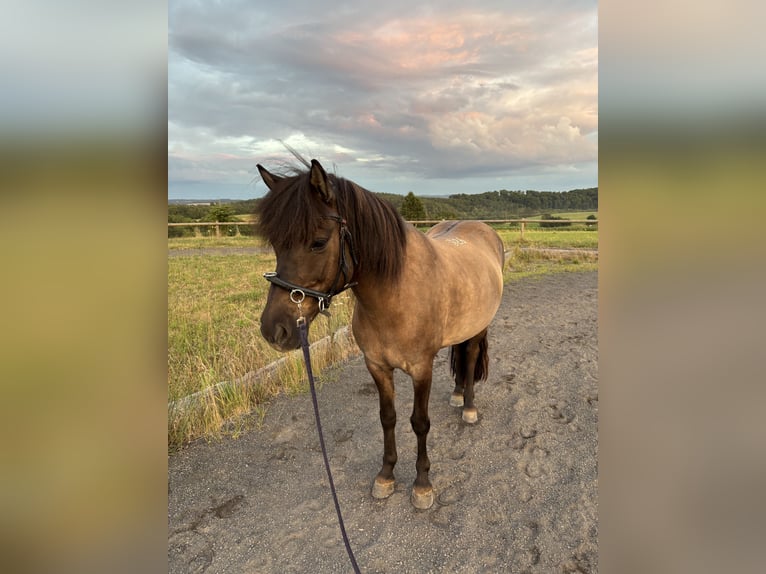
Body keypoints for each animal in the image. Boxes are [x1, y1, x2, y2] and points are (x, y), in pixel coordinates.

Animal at [256, 157, 505, 509]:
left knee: (469, 358)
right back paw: (457, 395)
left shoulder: (421, 370)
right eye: (276, 244)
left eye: (318, 242)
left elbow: (419, 422)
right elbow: (387, 417)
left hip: (479, 327)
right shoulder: (376, 365)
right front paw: (386, 476)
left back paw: (468, 406)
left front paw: (422, 484)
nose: (274, 329)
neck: (394, 296)